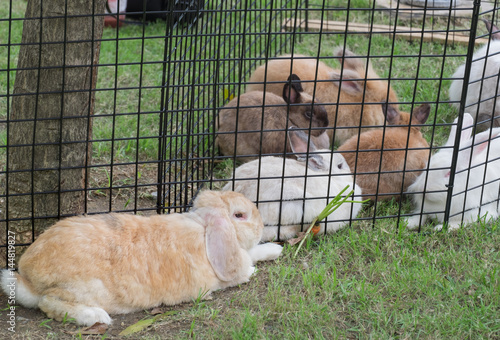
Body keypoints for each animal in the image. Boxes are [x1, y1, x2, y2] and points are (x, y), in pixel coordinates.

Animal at [0, 190, 284, 326]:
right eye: (240, 215)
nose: (261, 225)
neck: (204, 227)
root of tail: (28, 276)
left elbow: (253, 252)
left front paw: (276, 250)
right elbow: (247, 260)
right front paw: (257, 265)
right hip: (79, 289)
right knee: (49, 303)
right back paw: (95, 317)